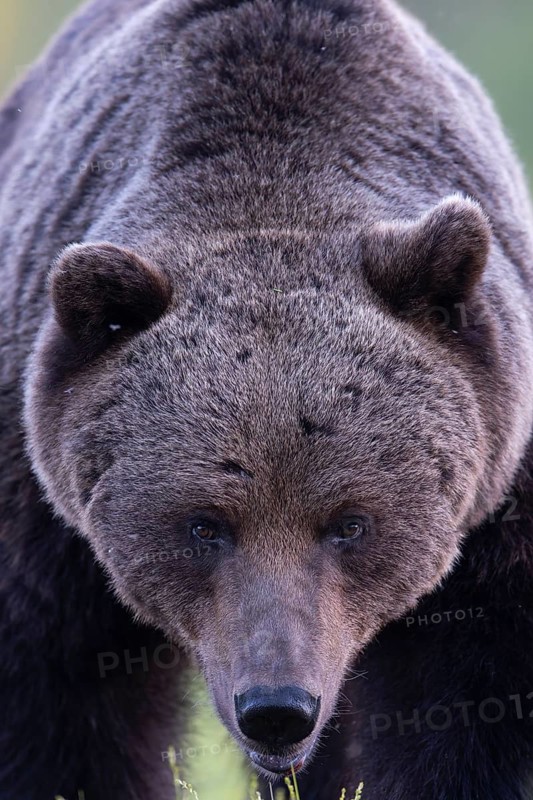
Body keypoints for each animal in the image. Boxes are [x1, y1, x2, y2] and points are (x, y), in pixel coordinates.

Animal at [1, 0, 533, 798]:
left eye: (350, 523)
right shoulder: (41, 513)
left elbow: (482, 698)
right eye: (203, 525)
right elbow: (56, 699)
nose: (277, 709)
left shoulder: (498, 499)